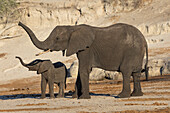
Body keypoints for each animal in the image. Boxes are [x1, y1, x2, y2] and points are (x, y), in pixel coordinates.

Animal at [18, 21, 148, 99]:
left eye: (57, 38)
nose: (18, 23)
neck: (72, 28)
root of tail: (144, 39)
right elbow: (81, 71)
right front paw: (75, 97)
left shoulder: (86, 49)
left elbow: (83, 70)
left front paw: (83, 98)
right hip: (137, 53)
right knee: (136, 73)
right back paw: (137, 95)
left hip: (131, 51)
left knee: (126, 71)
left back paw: (121, 96)